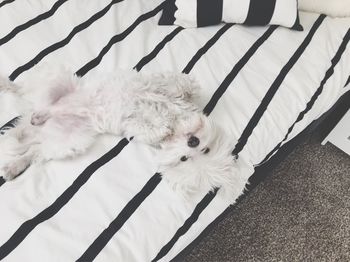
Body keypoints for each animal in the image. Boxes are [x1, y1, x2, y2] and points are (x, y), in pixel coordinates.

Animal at [0, 67, 246, 203]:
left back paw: (14, 165)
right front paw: (169, 111)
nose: (193, 142)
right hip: (54, 80)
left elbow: (148, 128)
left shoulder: (132, 125)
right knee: (23, 88)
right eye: (186, 157)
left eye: (201, 152)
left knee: (36, 151)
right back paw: (9, 87)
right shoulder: (160, 85)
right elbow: (180, 85)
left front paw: (163, 126)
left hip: (70, 140)